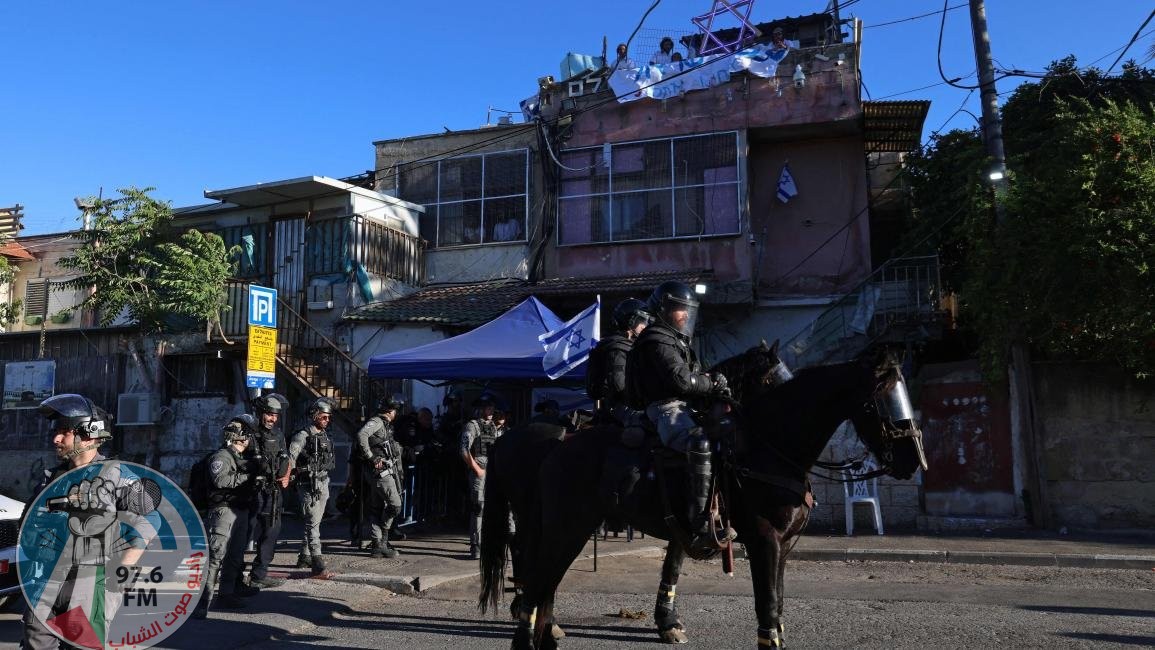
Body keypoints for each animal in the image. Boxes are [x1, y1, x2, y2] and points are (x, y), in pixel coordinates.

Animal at [482, 348, 924, 646]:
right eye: (883, 399)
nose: (913, 459)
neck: (768, 446)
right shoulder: (763, 541)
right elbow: (767, 607)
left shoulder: (779, 545)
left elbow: (772, 604)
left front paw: (669, 623)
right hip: (560, 526)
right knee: (535, 571)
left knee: (543, 576)